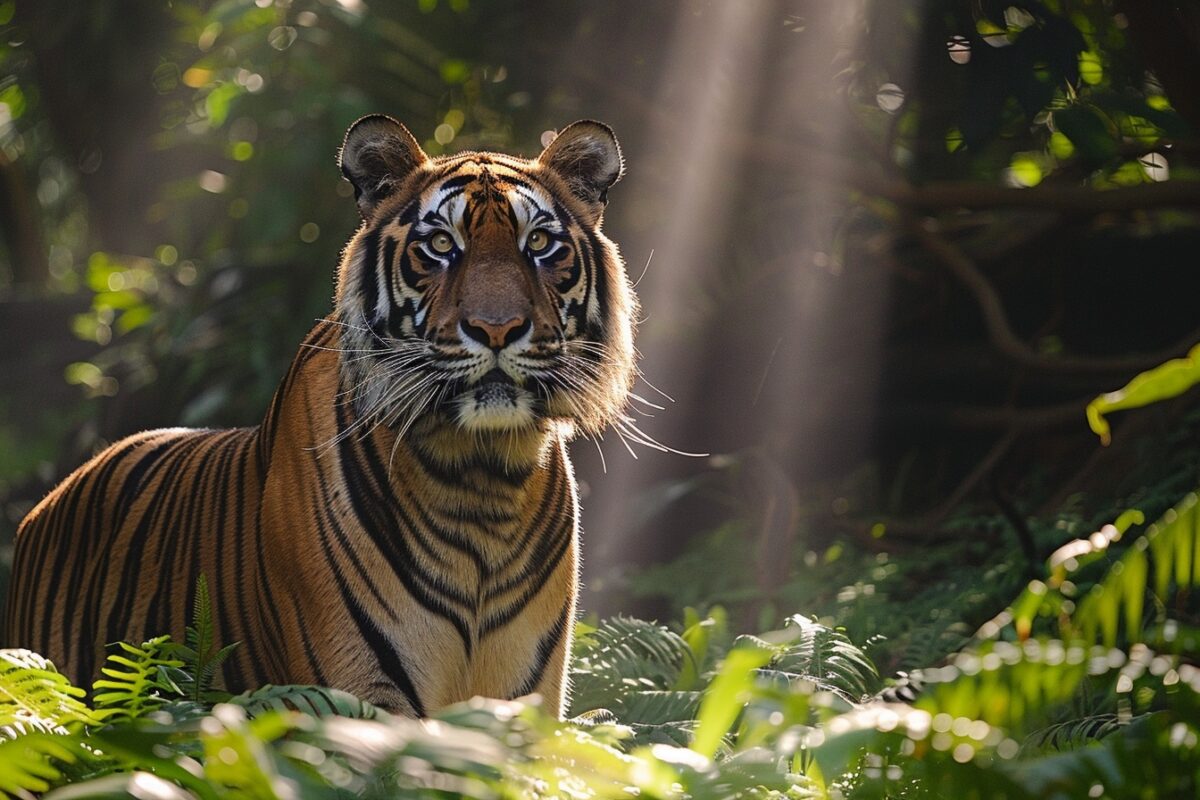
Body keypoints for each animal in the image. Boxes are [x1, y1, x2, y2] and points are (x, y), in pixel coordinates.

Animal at [7, 113, 638, 719]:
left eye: (540, 243)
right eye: (440, 244)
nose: (497, 328)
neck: (482, 477)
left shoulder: (523, 705)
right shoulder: (356, 696)